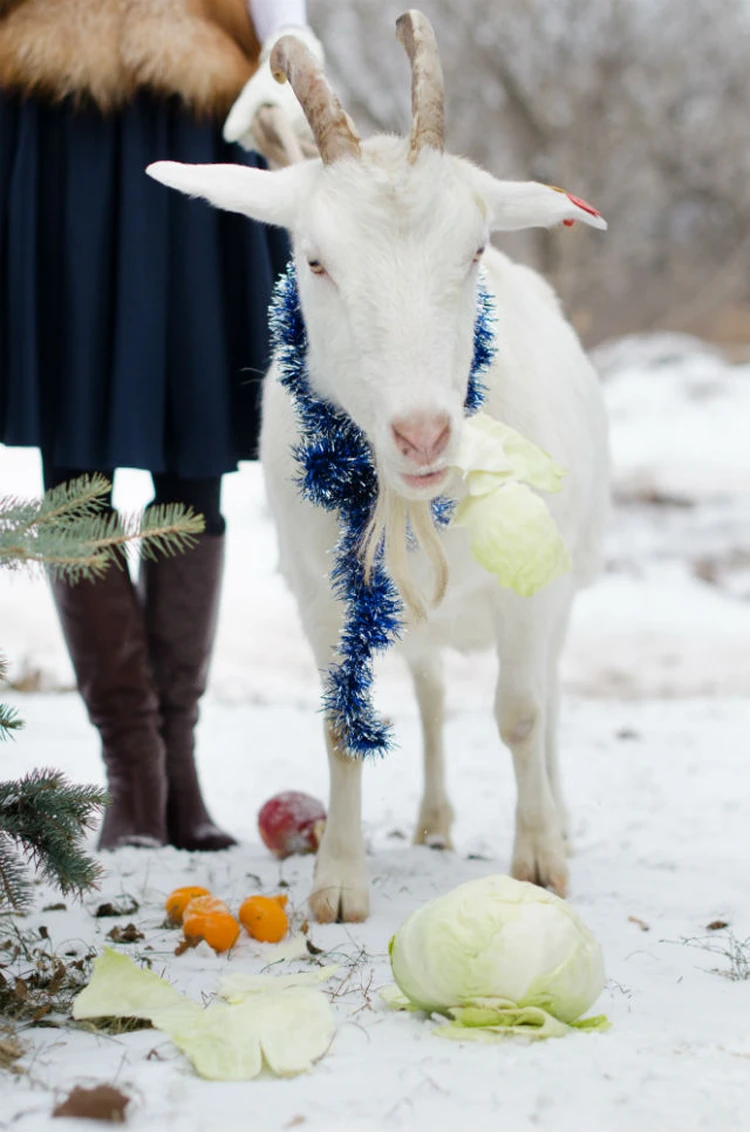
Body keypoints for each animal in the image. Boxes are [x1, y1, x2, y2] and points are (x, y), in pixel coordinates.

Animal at [149, 13, 615, 923]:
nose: (424, 436)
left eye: (475, 250)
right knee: (431, 693)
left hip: (569, 578)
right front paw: (337, 885)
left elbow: (522, 712)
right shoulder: (322, 592)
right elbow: (341, 724)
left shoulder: (532, 589)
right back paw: (433, 822)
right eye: (316, 261)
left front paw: (540, 863)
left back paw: (562, 819)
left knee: (550, 693)